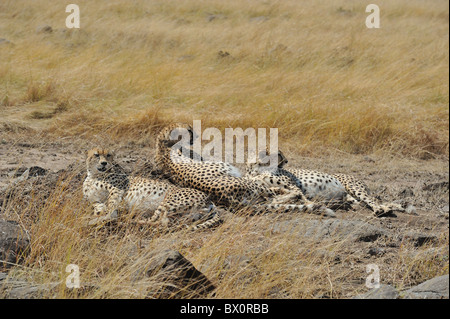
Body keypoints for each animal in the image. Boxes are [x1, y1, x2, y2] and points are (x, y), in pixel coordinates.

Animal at [82, 148, 223, 230]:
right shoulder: (95, 200)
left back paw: (129, 220)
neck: (94, 175)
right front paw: (99, 215)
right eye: (96, 155)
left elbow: (111, 205)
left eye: (108, 155)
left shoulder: (116, 190)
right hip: (184, 214)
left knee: (156, 220)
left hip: (168, 202)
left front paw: (107, 216)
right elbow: (99, 208)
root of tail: (209, 199)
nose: (104, 163)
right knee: (165, 222)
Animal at [154, 122, 334, 218]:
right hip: (256, 186)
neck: (162, 145)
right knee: (279, 195)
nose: (197, 135)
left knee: (276, 197)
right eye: (190, 130)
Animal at [246, 150, 414, 218]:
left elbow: (298, 194)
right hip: (351, 197)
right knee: (363, 202)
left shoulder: (292, 184)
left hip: (354, 188)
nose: (287, 161)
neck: (255, 169)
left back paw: (381, 210)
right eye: (279, 154)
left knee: (373, 201)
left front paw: (309, 204)